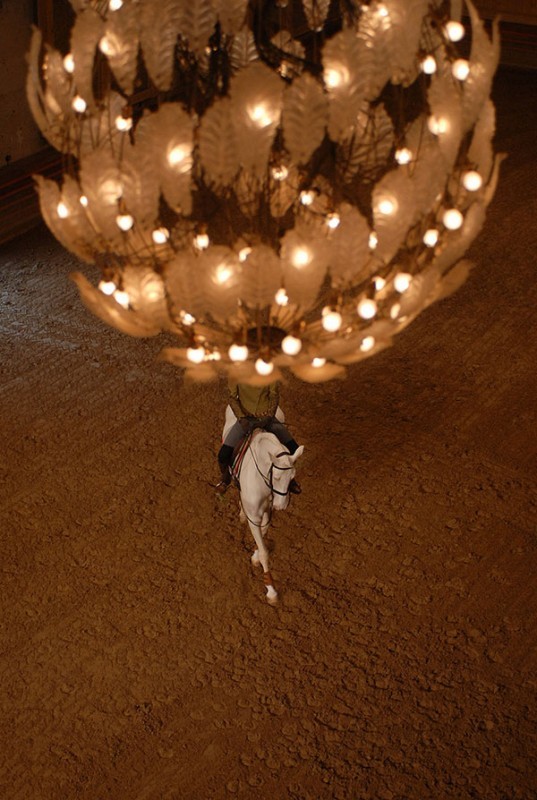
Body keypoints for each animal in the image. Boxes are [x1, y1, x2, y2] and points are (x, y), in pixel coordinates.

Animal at [221, 410, 304, 604]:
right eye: (277, 477)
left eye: (292, 477)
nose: (281, 506)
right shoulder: (255, 517)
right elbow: (265, 551)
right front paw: (271, 590)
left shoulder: (267, 512)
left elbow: (264, 535)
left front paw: (255, 556)